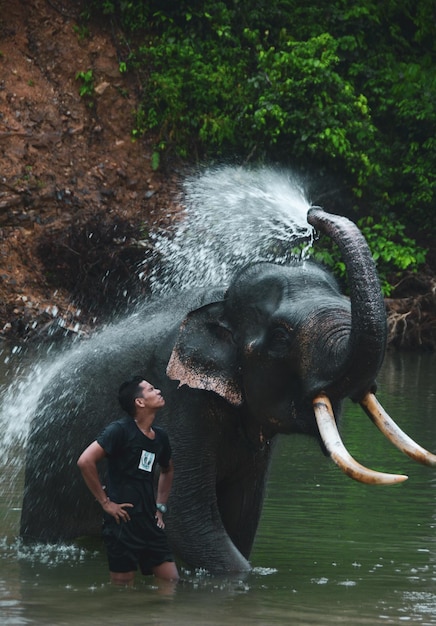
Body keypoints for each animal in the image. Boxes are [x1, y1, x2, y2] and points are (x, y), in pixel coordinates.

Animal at [20, 207, 436, 572]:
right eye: (281, 337)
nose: (312, 213)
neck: (219, 308)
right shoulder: (180, 397)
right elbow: (189, 520)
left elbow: (242, 517)